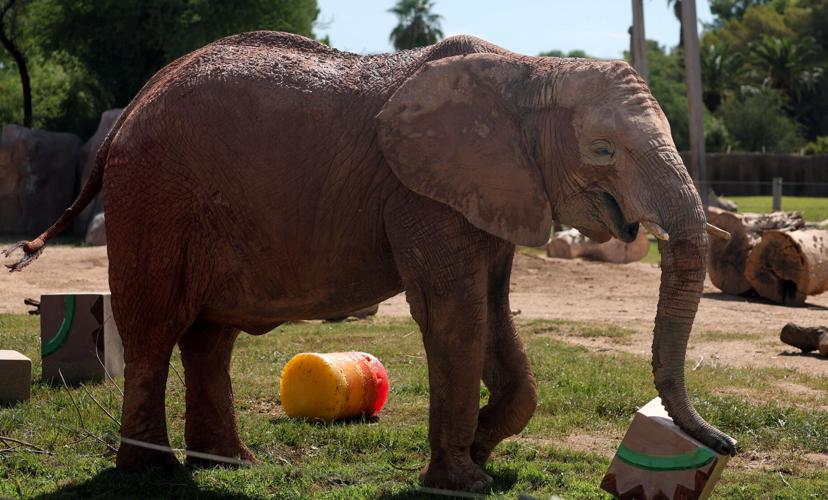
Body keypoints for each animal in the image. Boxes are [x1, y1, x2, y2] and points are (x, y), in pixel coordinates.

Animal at [4, 32, 736, 491]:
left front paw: (480, 450)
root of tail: (130, 111)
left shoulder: (487, 190)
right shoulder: (420, 193)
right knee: (157, 328)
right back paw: (150, 473)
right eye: (604, 150)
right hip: (155, 195)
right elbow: (454, 314)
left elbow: (493, 311)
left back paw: (232, 465)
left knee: (211, 337)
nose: (724, 444)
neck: (529, 70)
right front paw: (464, 479)